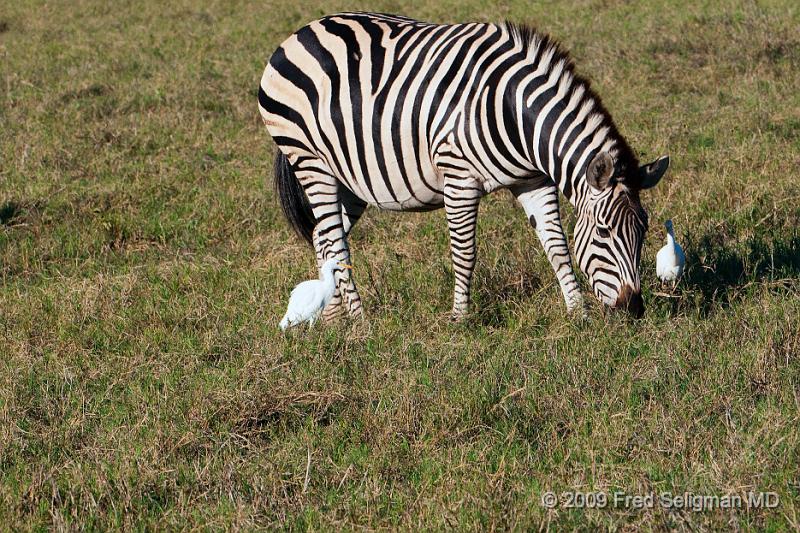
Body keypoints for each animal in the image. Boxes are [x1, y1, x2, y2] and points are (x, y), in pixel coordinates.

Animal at [260, 11, 668, 320]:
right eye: (603, 232)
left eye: (644, 230)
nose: (635, 309)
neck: (513, 113)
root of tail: (302, 31)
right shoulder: (458, 178)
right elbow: (465, 252)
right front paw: (460, 319)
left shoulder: (533, 181)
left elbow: (557, 245)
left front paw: (578, 314)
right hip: (311, 163)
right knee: (335, 244)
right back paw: (361, 324)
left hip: (347, 177)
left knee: (324, 237)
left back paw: (331, 318)